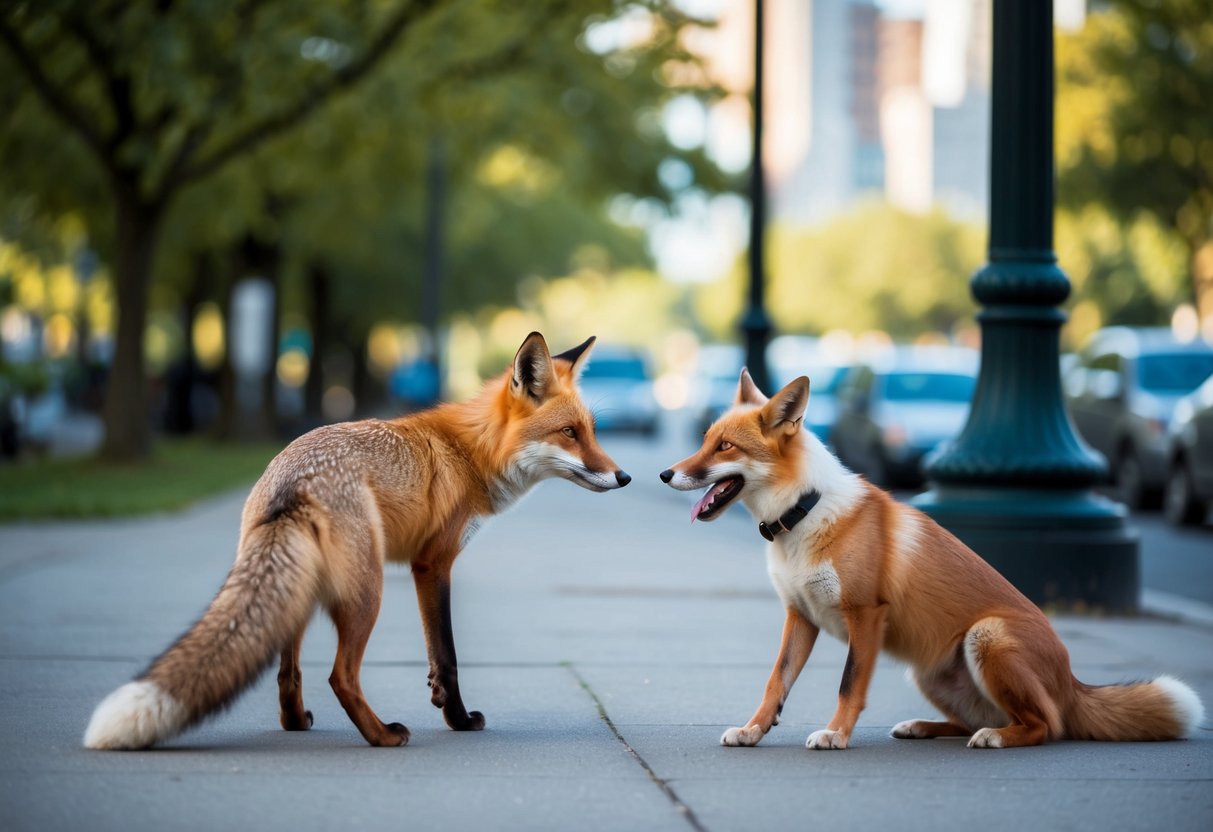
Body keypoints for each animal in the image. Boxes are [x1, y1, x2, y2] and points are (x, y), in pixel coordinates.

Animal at [84, 332, 631, 750]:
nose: (624, 477)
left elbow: (437, 659)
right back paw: (382, 736)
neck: (470, 452)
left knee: (287, 671)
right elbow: (448, 656)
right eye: (569, 433)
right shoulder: (433, 564)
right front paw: (457, 719)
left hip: (301, 584)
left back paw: (295, 722)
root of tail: (292, 480)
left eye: (593, 430)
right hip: (369, 590)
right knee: (340, 676)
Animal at [660, 369, 1205, 750]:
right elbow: (775, 682)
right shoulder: (800, 616)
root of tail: (1074, 683)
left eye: (725, 446)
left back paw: (998, 738)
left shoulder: (866, 615)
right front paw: (753, 730)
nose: (666, 474)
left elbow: (848, 685)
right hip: (929, 671)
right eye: (704, 440)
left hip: (986, 638)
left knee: (1045, 726)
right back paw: (925, 727)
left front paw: (836, 735)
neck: (804, 511)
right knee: (983, 718)